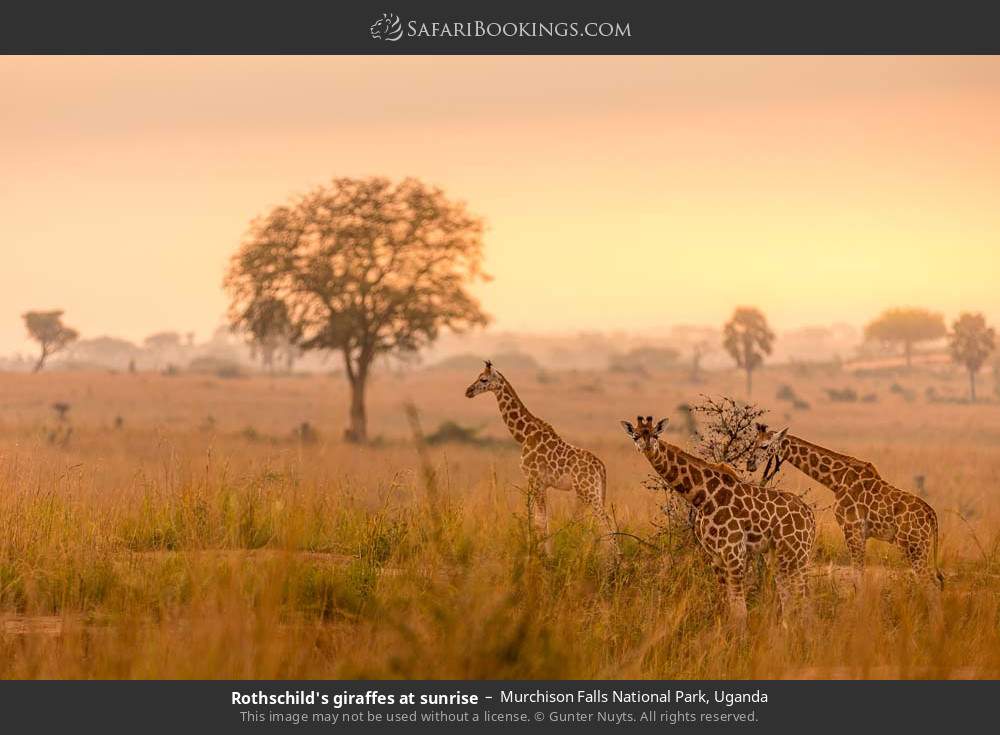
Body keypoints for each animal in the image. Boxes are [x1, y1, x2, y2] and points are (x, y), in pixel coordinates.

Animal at [464, 361, 620, 557]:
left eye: (483, 379)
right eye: (477, 377)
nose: (468, 391)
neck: (523, 435)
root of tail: (601, 466)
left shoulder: (534, 479)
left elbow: (539, 521)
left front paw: (540, 555)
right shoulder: (542, 484)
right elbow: (543, 520)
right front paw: (545, 553)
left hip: (588, 490)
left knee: (606, 520)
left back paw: (615, 559)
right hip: (589, 491)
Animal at [621, 416, 815, 620]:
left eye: (655, 435)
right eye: (635, 436)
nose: (646, 446)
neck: (702, 497)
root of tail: (811, 517)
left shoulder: (734, 553)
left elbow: (740, 611)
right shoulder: (715, 557)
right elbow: (725, 606)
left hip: (797, 553)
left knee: (805, 600)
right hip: (779, 555)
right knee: (790, 600)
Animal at [747, 424, 943, 589]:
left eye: (764, 446)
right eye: (753, 442)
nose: (750, 464)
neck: (836, 480)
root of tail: (932, 515)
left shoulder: (852, 528)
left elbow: (857, 577)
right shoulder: (860, 533)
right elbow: (859, 575)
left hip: (914, 546)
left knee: (930, 583)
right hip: (919, 546)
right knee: (935, 581)